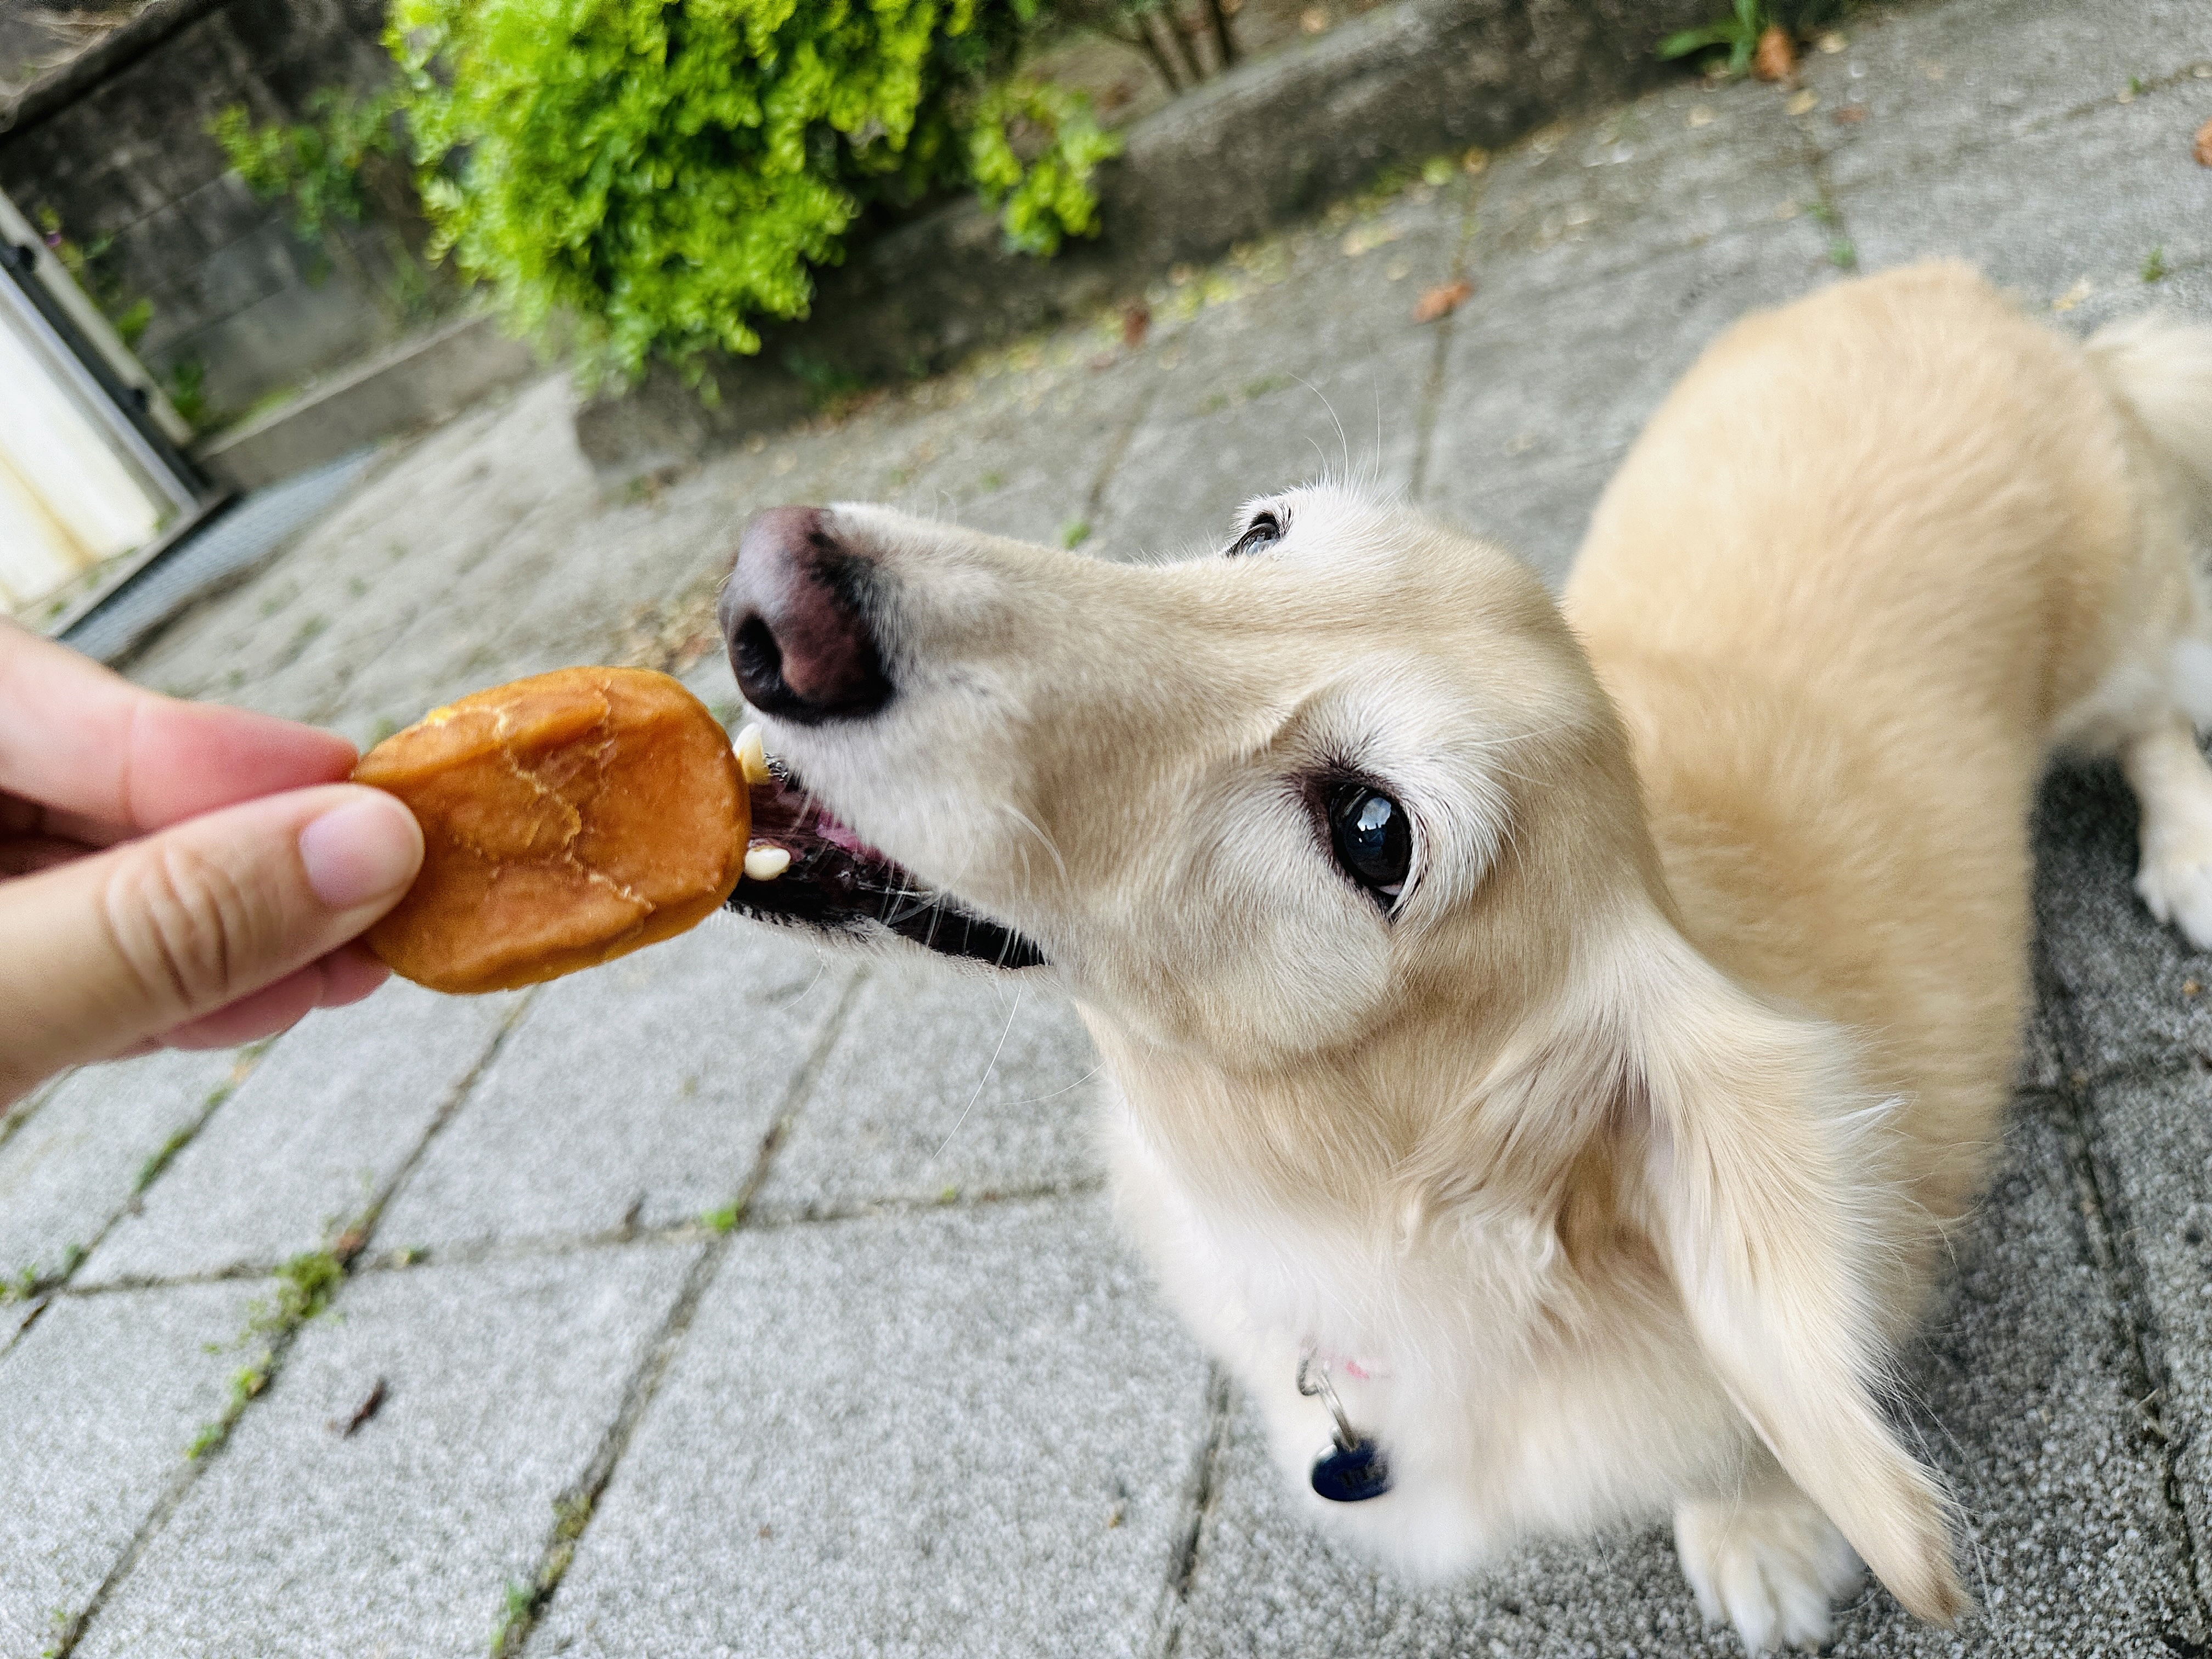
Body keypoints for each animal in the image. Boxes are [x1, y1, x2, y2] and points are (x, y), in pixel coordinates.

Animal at [716, 263, 2212, 1654]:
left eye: (1374, 830)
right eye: (1256, 532)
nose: (772, 588)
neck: (1354, 1232)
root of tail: (1970, 294)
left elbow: (1748, 1428)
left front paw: (1759, 1533)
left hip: (2115, 647)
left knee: (2153, 716)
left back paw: (2189, 849)